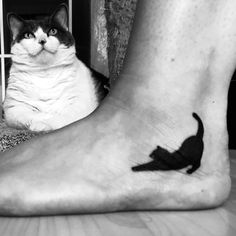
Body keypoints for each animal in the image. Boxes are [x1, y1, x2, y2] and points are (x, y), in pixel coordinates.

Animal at [3, 3, 109, 132]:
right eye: (28, 35)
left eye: (53, 31)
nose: (42, 41)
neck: (44, 74)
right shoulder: (15, 107)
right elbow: (36, 114)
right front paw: (38, 123)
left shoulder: (79, 105)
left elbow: (60, 117)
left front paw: (42, 125)